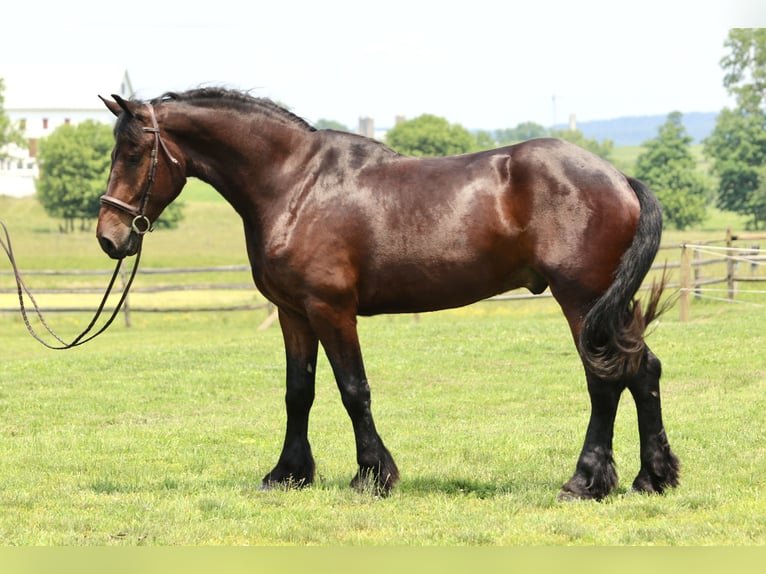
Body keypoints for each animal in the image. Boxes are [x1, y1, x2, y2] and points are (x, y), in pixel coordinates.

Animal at [96, 88, 679, 501]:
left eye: (134, 152)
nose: (109, 237)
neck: (294, 184)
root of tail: (619, 178)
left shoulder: (331, 310)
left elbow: (353, 389)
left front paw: (373, 475)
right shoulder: (293, 314)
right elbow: (298, 393)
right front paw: (288, 474)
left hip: (581, 301)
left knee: (604, 381)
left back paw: (586, 482)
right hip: (610, 307)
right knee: (642, 370)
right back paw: (652, 478)